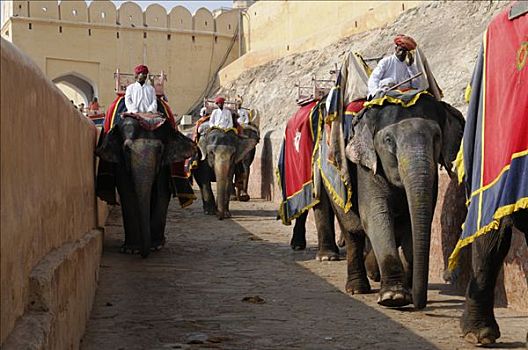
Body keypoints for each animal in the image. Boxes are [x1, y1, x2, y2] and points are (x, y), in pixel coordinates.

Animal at [95, 113, 196, 258]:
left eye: (160, 150)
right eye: (126, 149)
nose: (144, 254)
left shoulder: (164, 164)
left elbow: (161, 192)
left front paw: (155, 246)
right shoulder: (120, 160)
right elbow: (127, 191)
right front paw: (131, 250)